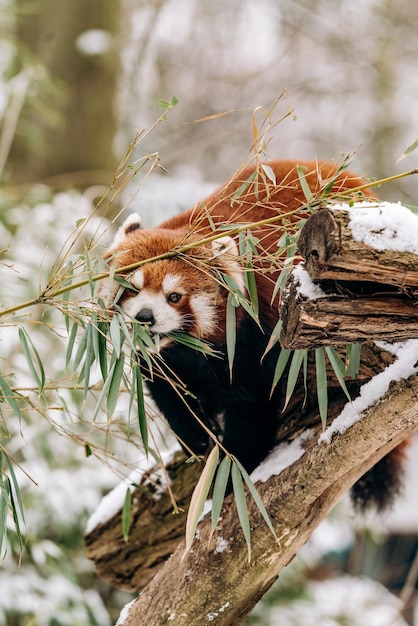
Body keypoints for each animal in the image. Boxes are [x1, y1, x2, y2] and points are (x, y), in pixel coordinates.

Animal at [102, 158, 408, 510]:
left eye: (174, 296)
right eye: (132, 288)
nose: (144, 318)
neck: (189, 348)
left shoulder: (256, 334)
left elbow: (252, 407)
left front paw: (230, 471)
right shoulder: (162, 358)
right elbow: (169, 392)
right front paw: (196, 436)